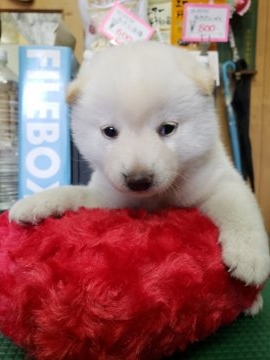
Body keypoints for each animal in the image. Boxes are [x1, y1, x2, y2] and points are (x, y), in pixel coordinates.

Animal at [9, 43, 268, 312]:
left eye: (168, 128)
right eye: (110, 131)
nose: (138, 180)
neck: (154, 198)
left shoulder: (218, 181)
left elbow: (239, 210)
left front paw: (249, 256)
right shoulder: (106, 197)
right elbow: (74, 192)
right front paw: (37, 202)